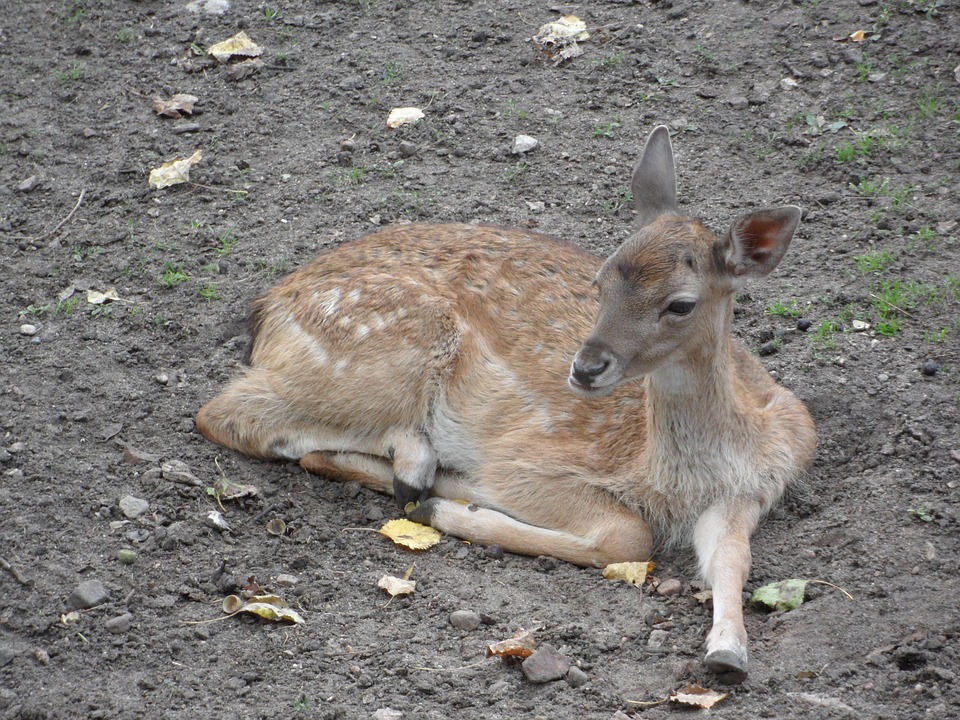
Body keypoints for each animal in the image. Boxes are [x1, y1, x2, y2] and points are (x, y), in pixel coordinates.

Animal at [197, 126, 816, 684]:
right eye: (600, 279)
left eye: (681, 304)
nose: (584, 368)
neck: (678, 476)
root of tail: (267, 308)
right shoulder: (526, 458)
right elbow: (629, 535)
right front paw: (454, 509)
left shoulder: (754, 489)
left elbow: (733, 560)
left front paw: (728, 652)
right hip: (383, 353)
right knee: (225, 413)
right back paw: (421, 474)